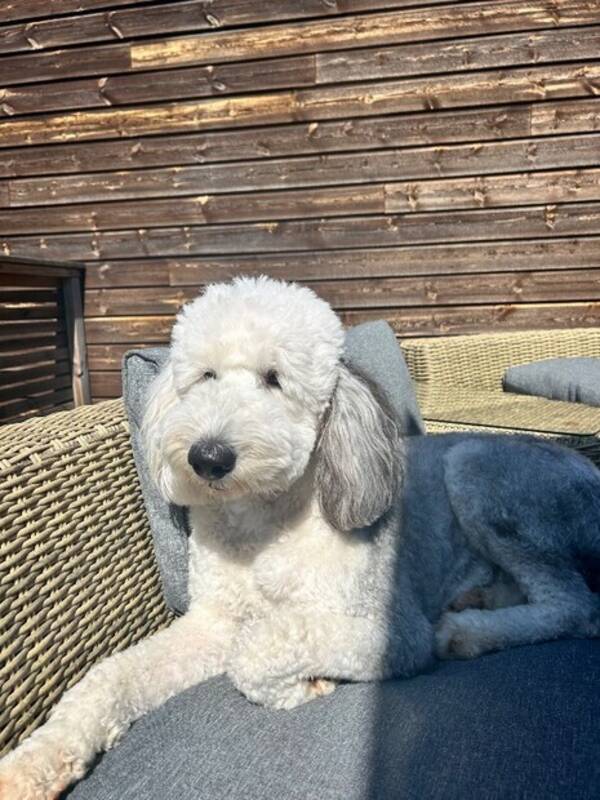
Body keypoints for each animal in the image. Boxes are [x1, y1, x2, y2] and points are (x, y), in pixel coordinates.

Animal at [1, 276, 600, 800]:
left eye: (275, 378)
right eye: (205, 376)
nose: (208, 457)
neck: (262, 527)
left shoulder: (394, 631)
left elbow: (258, 647)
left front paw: (303, 685)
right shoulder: (212, 621)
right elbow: (110, 676)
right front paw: (34, 762)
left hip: (480, 473)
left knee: (575, 606)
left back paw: (468, 632)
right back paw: (480, 598)